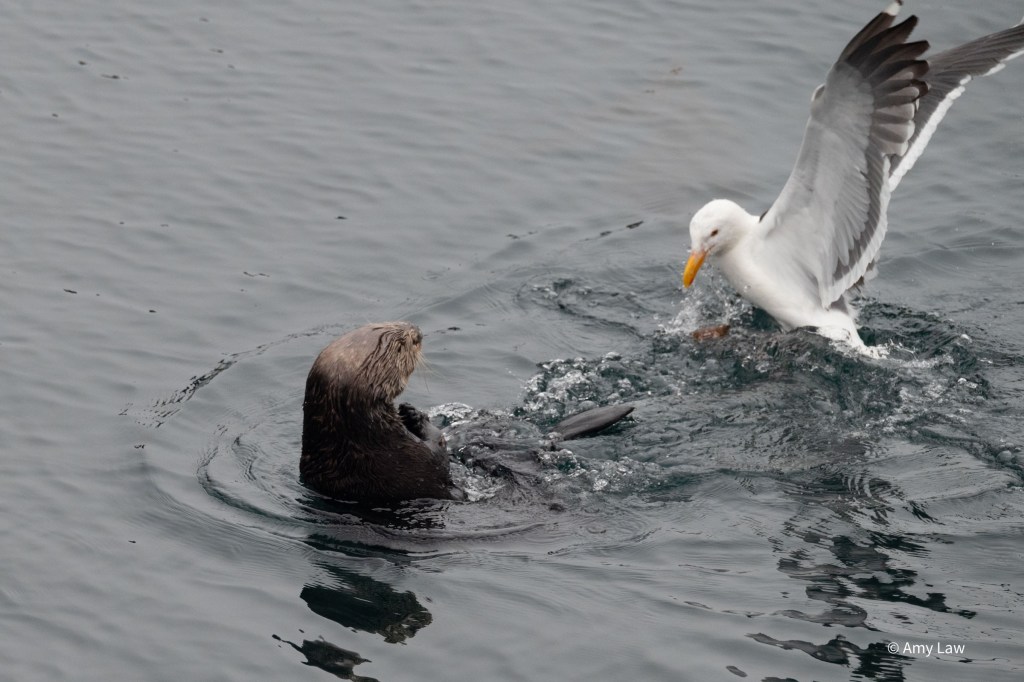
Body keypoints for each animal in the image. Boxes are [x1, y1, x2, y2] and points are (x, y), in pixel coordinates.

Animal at [301, 321, 633, 503]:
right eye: (399, 346)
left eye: (377, 325)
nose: (417, 331)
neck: (357, 440)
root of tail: (543, 437)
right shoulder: (409, 458)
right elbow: (437, 449)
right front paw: (415, 416)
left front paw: (410, 411)